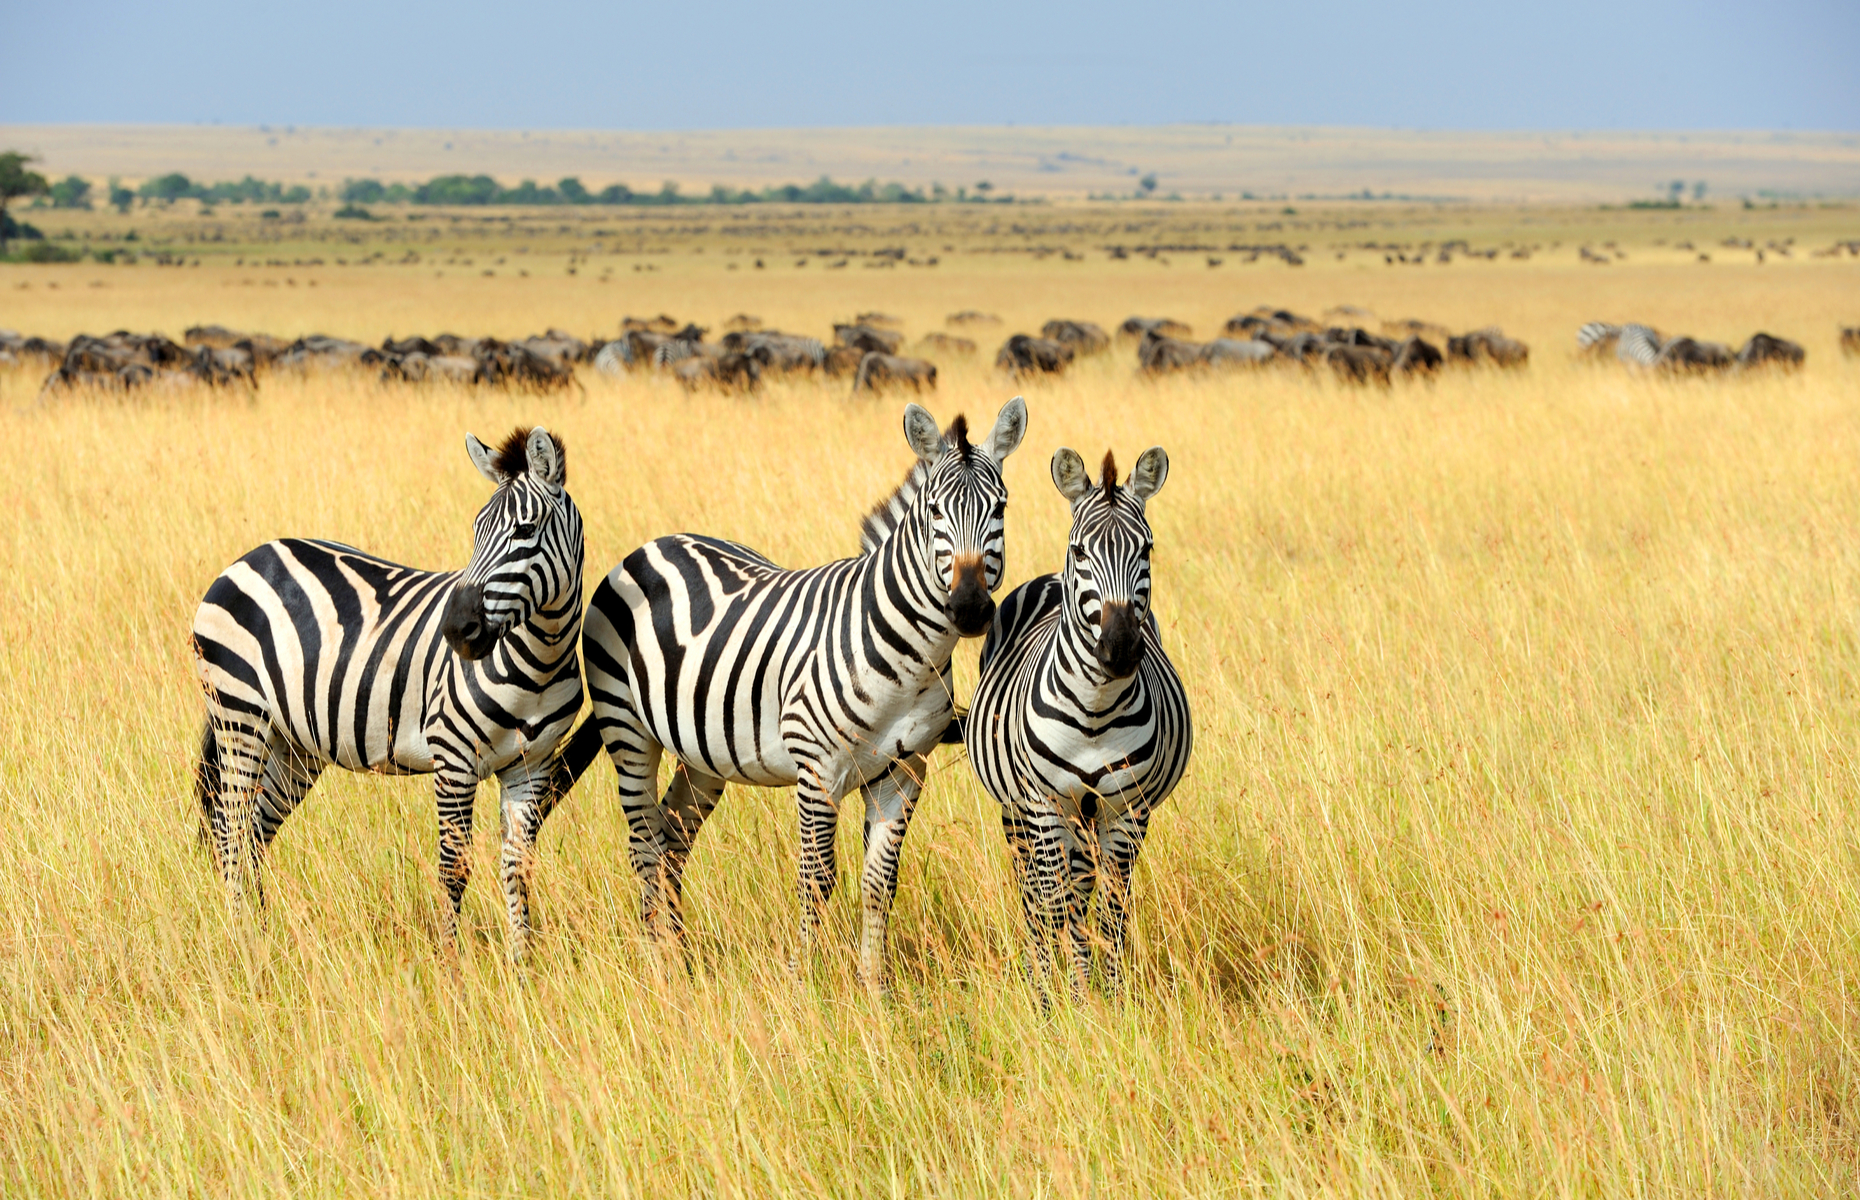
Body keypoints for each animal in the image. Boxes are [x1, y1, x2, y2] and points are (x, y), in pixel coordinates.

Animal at [190, 426, 580, 960]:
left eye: (525, 530)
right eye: (475, 530)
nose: (457, 630)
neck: (539, 661)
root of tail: (248, 557)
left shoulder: (531, 766)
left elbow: (518, 869)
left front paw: (522, 967)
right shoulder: (453, 757)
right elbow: (453, 869)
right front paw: (451, 966)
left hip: (293, 746)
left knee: (254, 834)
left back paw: (262, 936)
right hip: (240, 717)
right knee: (230, 830)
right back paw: (241, 943)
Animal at [561, 398, 1034, 989]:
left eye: (1002, 508)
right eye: (933, 512)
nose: (969, 608)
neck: (907, 656)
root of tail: (653, 544)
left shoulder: (903, 773)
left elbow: (880, 884)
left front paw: (873, 988)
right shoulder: (817, 769)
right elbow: (818, 878)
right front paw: (802, 982)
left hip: (702, 752)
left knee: (671, 838)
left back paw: (681, 957)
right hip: (627, 730)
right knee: (644, 843)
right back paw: (657, 964)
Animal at [952, 444, 1197, 989]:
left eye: (1147, 550)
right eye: (1081, 551)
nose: (1120, 649)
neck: (1095, 711)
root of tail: (1048, 576)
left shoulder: (1127, 810)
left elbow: (1110, 911)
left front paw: (1108, 993)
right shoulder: (1045, 805)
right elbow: (1053, 904)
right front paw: (1062, 996)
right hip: (1020, 812)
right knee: (1035, 893)